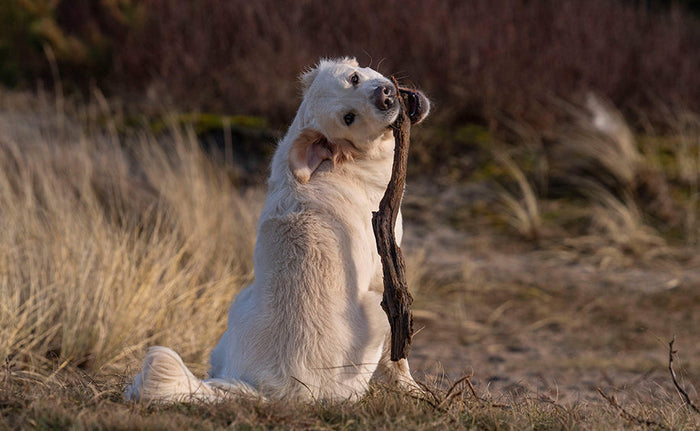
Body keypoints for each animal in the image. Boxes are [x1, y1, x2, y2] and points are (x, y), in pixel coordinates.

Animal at [127, 56, 432, 402]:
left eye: (354, 78)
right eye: (349, 118)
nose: (385, 96)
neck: (344, 162)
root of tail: (273, 390)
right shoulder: (385, 276)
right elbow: (399, 358)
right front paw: (411, 389)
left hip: (237, 306)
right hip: (374, 312)